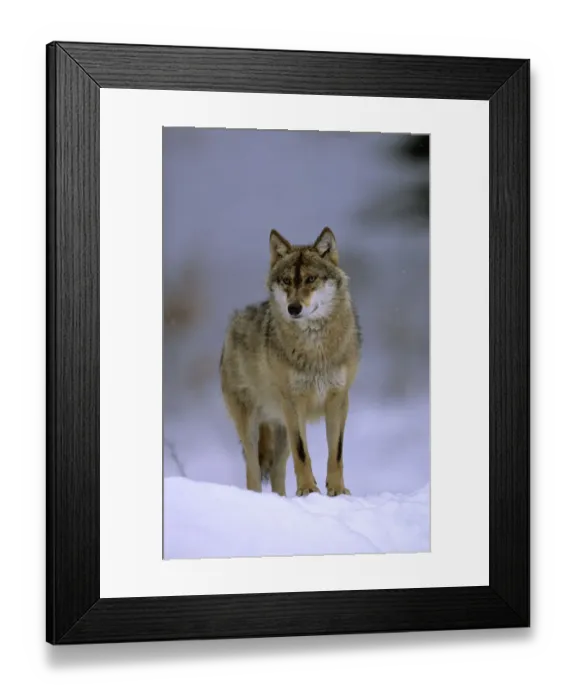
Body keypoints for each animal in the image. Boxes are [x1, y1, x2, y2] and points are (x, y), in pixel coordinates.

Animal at [219, 227, 361, 497]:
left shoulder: (339, 399)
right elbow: (303, 454)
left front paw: (337, 490)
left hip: (281, 429)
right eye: (286, 281)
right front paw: (308, 490)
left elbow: (336, 452)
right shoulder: (294, 403)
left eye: (310, 279)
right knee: (253, 472)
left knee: (277, 471)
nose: (293, 308)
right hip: (252, 426)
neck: (315, 349)